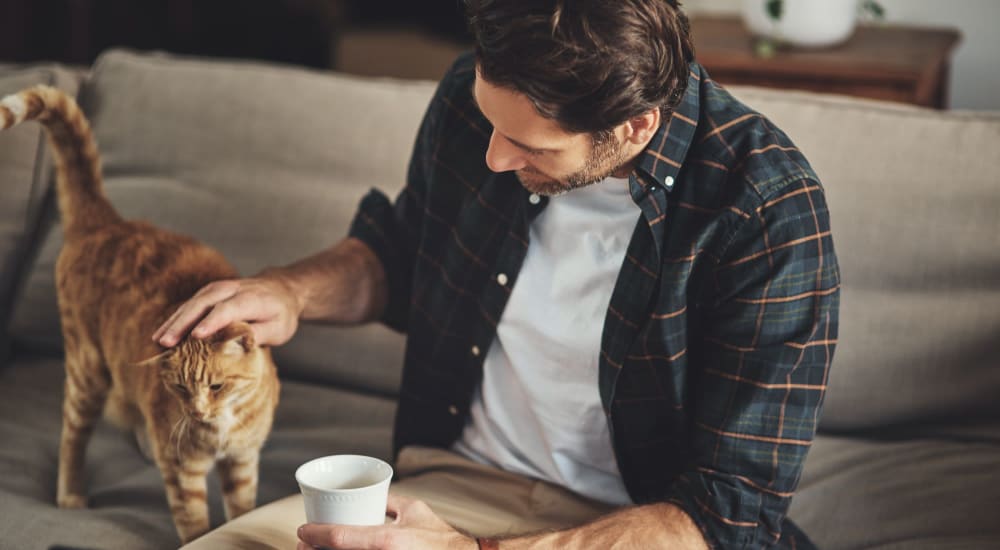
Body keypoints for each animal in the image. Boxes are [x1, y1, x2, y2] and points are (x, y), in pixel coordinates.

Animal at [2, 88, 282, 544]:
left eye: (217, 386)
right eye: (181, 389)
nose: (196, 413)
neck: (220, 428)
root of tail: (108, 222)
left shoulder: (242, 462)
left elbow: (243, 511)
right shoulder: (183, 472)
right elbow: (195, 525)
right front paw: (200, 538)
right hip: (87, 372)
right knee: (72, 438)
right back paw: (71, 494)